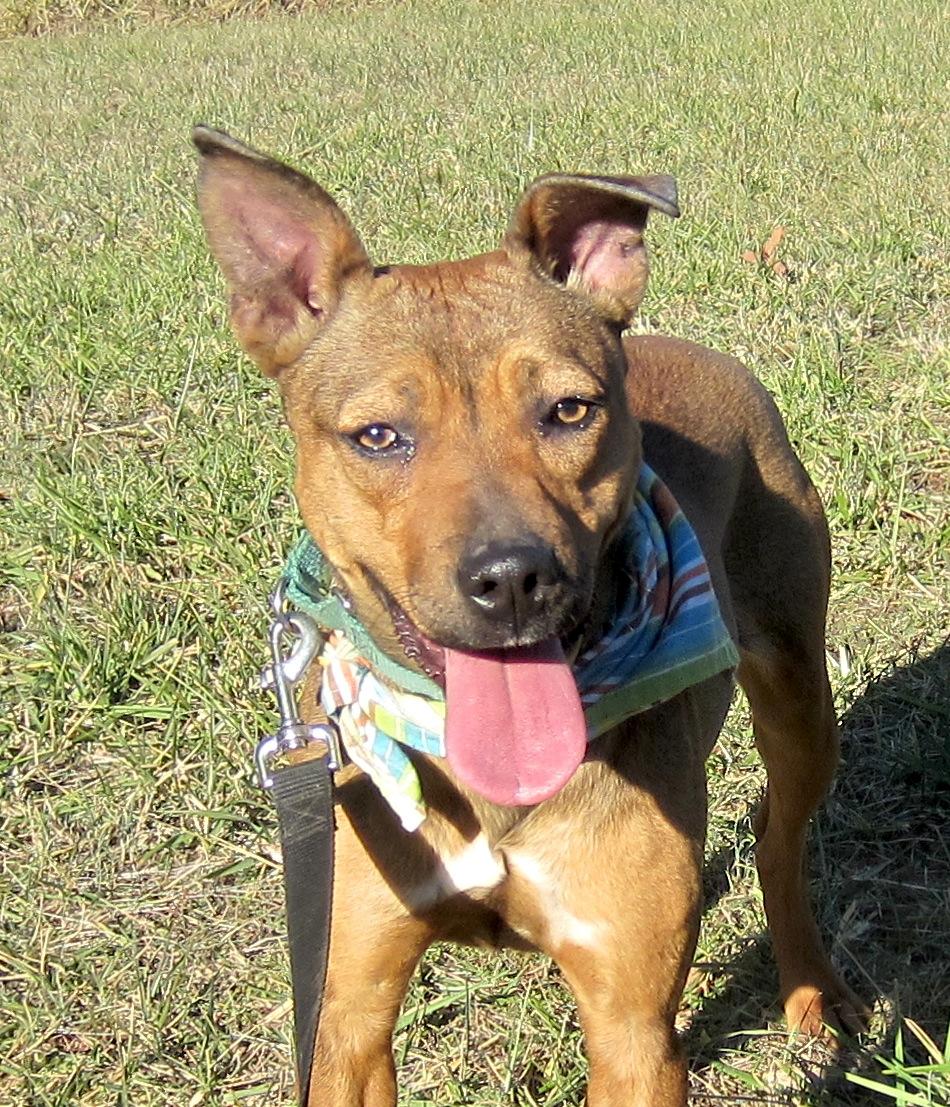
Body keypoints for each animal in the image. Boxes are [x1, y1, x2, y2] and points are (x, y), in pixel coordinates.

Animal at [192, 127, 868, 1107]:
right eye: (379, 436)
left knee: (781, 835)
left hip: (799, 690)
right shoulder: (345, 1011)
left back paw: (815, 988)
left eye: (568, 409)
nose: (511, 576)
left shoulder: (631, 1027)